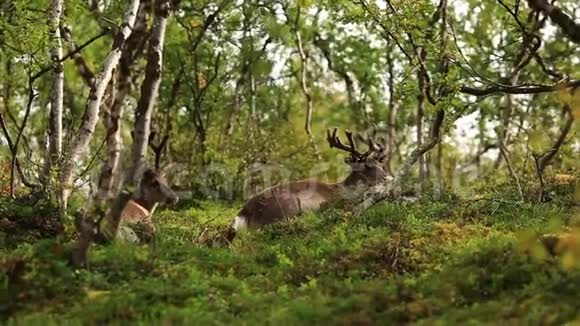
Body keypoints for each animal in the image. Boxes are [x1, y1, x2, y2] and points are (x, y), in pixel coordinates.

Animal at [231, 129, 390, 230]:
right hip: (287, 205)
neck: (343, 190)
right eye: (368, 165)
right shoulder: (334, 203)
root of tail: (243, 214)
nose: (387, 177)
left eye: (380, 163)